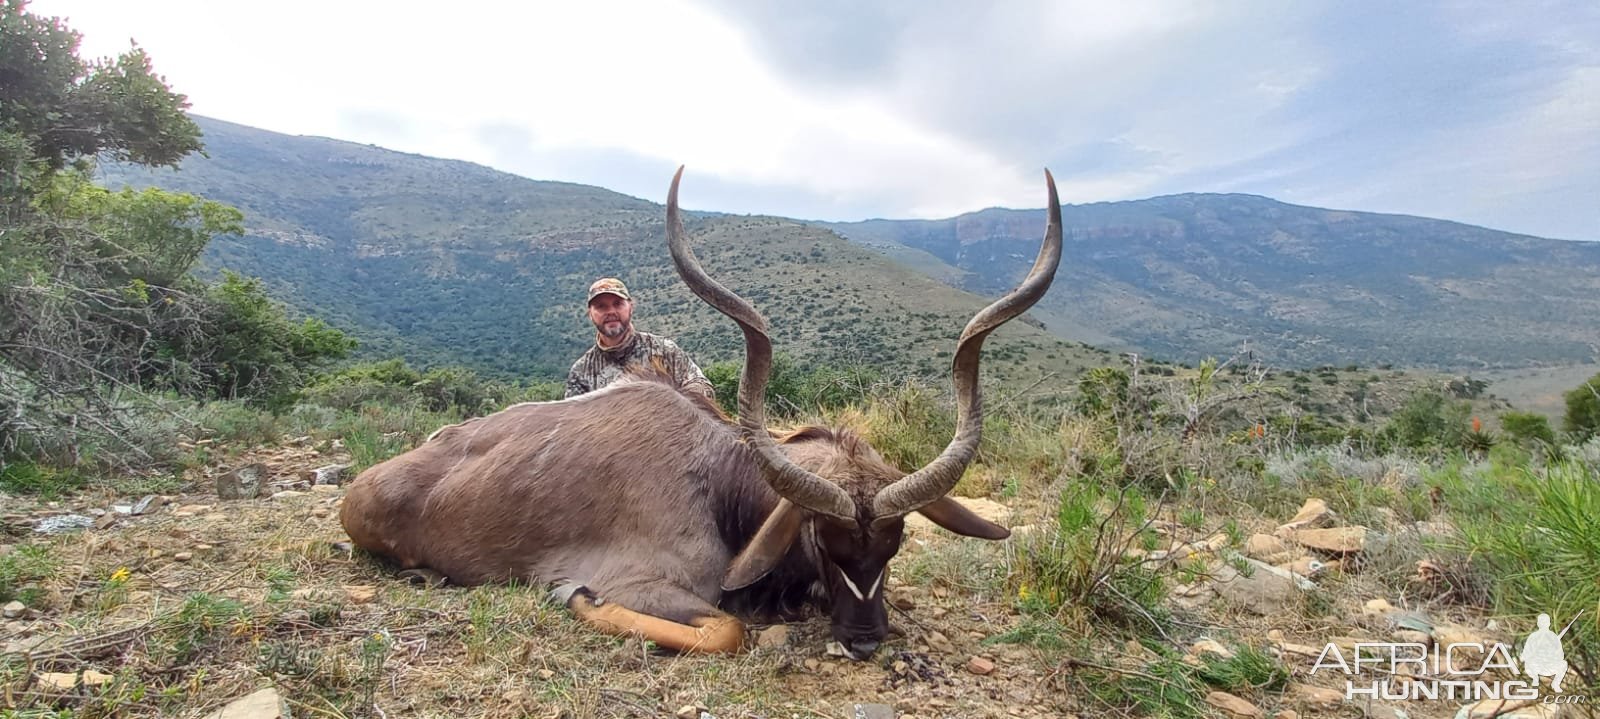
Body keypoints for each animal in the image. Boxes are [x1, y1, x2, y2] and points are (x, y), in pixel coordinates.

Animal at [337, 166, 1062, 656]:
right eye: (819, 537)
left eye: (897, 540)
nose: (864, 638)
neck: (718, 480)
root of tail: (366, 484)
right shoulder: (643, 581)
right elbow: (728, 628)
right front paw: (570, 595)